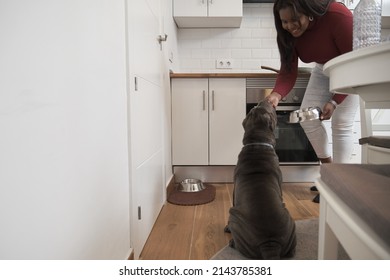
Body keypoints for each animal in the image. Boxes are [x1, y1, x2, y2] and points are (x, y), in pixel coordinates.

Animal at [225, 99, 296, 260]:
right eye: (257, 107)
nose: (266, 100)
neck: (257, 144)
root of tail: (270, 245)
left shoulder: (234, 191)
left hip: (233, 213)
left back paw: (231, 241)